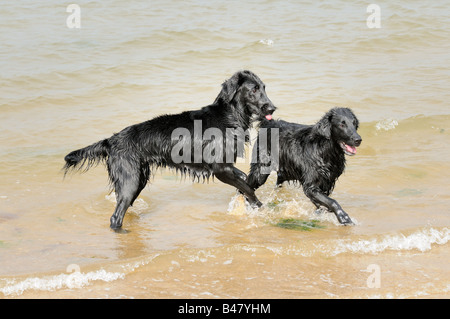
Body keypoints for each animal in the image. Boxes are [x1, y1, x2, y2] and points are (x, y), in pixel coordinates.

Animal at [62, 70, 274, 230]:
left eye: (264, 87)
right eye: (254, 89)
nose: (272, 108)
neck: (229, 115)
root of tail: (111, 140)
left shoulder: (228, 167)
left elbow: (244, 181)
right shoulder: (220, 169)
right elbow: (248, 187)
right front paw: (260, 206)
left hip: (139, 179)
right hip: (130, 180)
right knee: (116, 216)